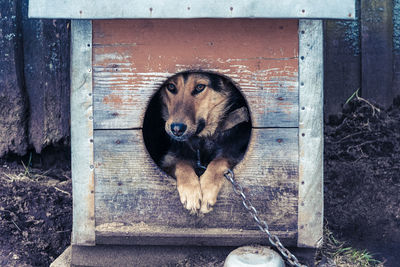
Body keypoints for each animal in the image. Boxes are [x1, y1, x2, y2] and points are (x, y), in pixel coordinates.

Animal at [159, 71, 250, 216]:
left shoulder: (235, 153)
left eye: (200, 87)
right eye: (171, 86)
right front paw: (191, 191)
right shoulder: (168, 161)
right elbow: (182, 163)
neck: (203, 140)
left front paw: (207, 190)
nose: (177, 129)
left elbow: (218, 161)